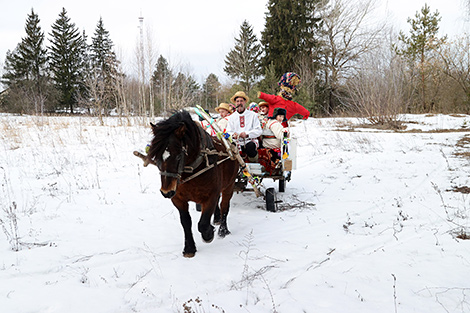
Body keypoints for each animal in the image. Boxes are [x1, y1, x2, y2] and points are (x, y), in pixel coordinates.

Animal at [145, 109, 239, 256]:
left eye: (178, 155)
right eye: (156, 156)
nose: (166, 192)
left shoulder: (210, 195)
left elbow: (203, 223)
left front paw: (208, 234)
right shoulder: (178, 198)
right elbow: (185, 222)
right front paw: (189, 248)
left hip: (229, 185)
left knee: (224, 206)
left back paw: (223, 230)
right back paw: (217, 219)